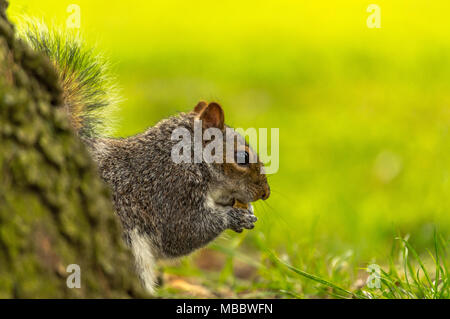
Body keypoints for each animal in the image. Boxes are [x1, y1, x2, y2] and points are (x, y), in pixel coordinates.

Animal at [21, 21, 270, 296]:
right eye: (242, 157)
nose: (265, 193)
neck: (190, 159)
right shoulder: (168, 189)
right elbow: (182, 232)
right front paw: (236, 217)